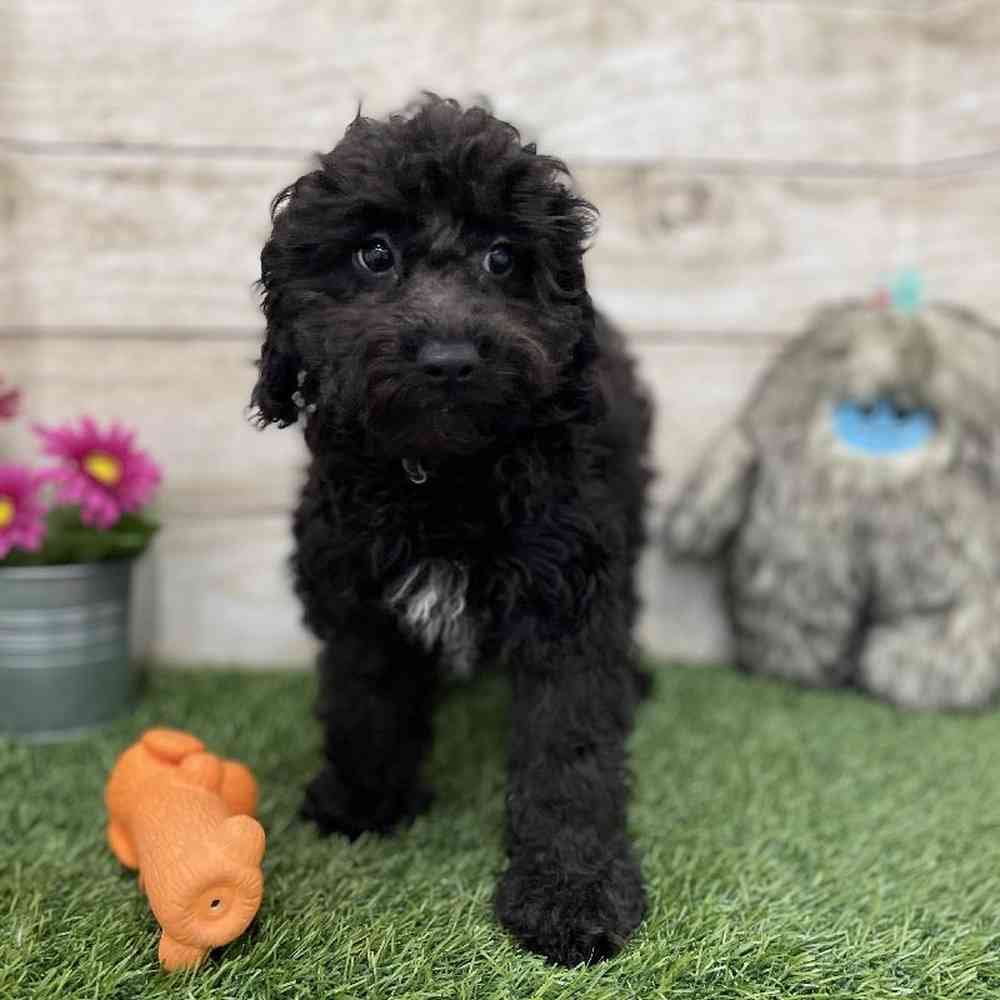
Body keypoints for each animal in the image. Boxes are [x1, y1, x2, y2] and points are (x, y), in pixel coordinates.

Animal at [254, 97, 652, 964]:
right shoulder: (356, 588)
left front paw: (570, 894)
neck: (441, 476)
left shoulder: (566, 591)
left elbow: (568, 752)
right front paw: (363, 802)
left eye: (503, 258)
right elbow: (364, 699)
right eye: (373, 254)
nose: (448, 357)